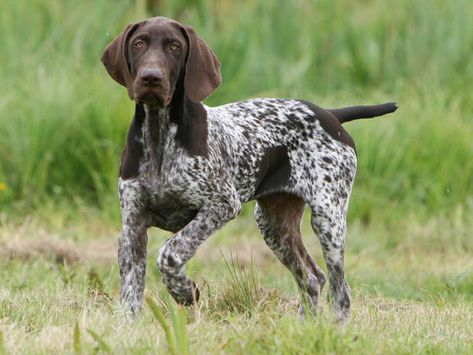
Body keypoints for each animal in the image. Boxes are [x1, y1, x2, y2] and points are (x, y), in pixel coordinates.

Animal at [101, 16, 396, 322]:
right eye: (139, 44)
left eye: (174, 46)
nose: (151, 77)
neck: (159, 136)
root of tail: (330, 114)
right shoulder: (132, 226)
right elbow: (131, 294)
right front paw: (130, 326)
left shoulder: (221, 205)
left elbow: (171, 252)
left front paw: (183, 290)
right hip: (274, 224)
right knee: (312, 278)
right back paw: (305, 326)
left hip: (328, 219)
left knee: (341, 291)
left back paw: (336, 328)